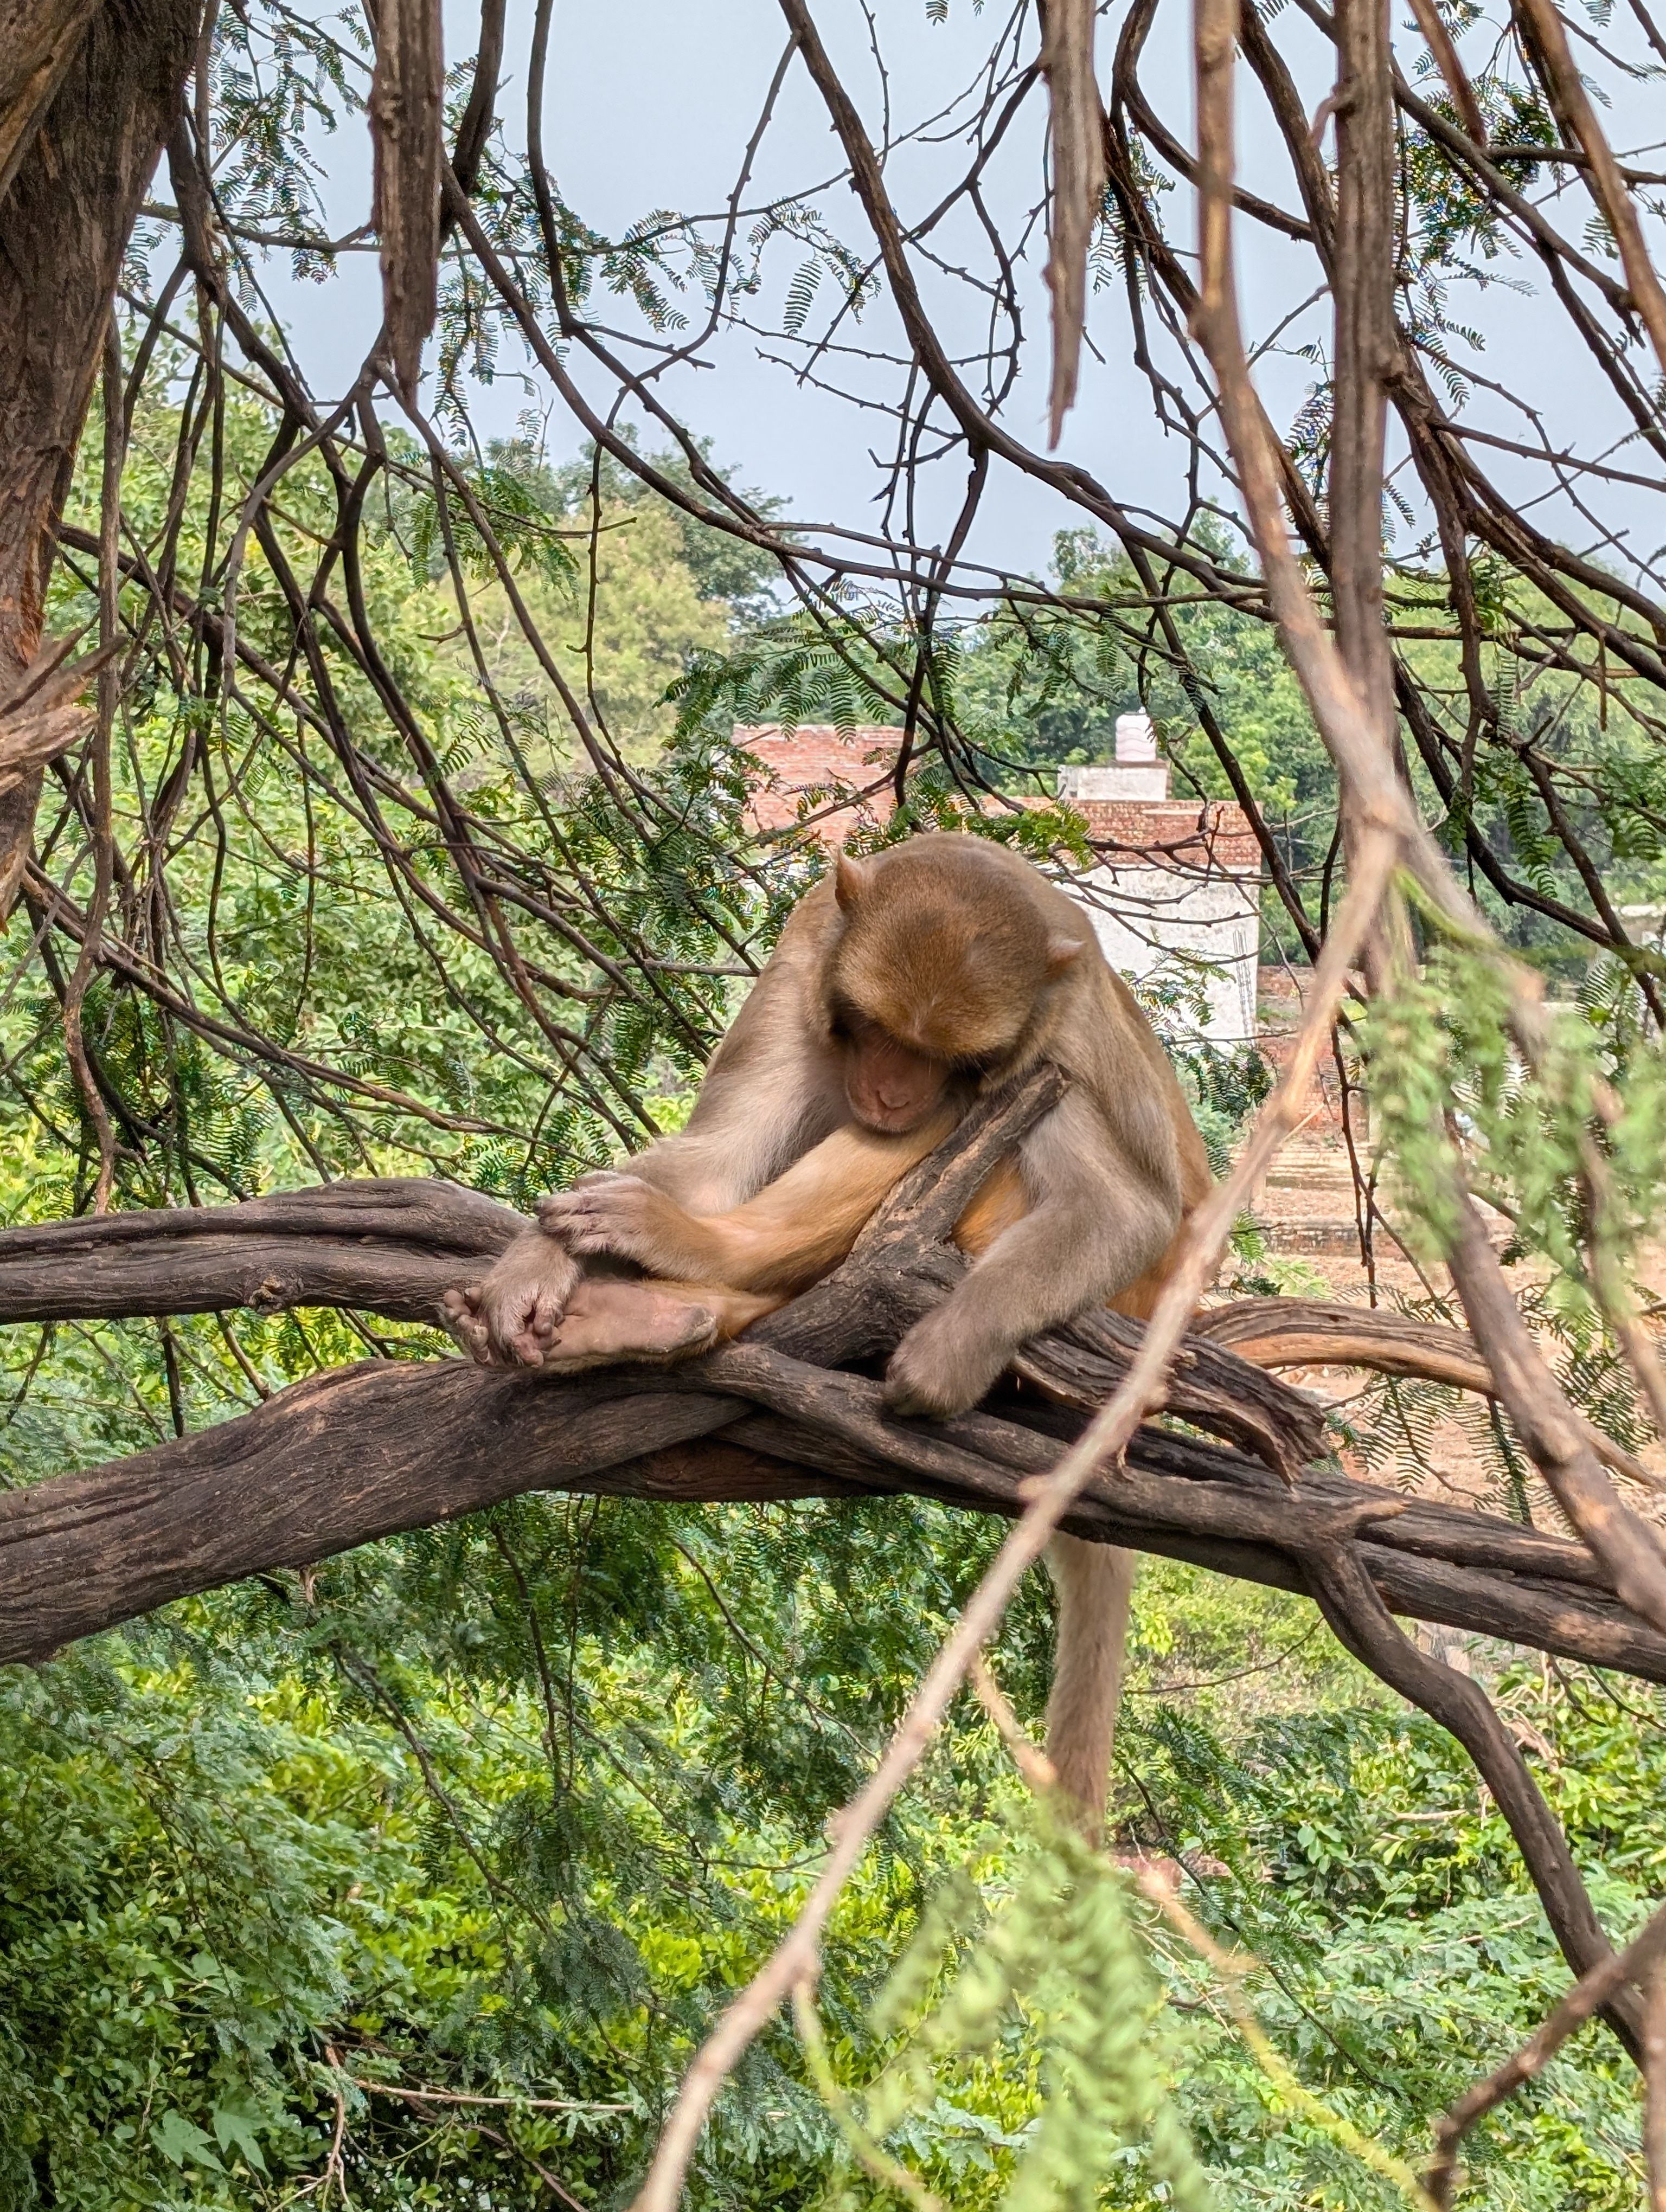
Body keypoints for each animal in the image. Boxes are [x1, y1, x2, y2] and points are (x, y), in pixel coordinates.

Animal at [445, 833, 1212, 1833]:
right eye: (876, 1028)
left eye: (948, 1053)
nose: (888, 1087)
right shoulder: (806, 951)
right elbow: (722, 1152)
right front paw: (537, 1260)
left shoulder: (1060, 1041)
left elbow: (1126, 1208)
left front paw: (952, 1349)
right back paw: (659, 1302)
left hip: (1116, 1286)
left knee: (975, 1143)